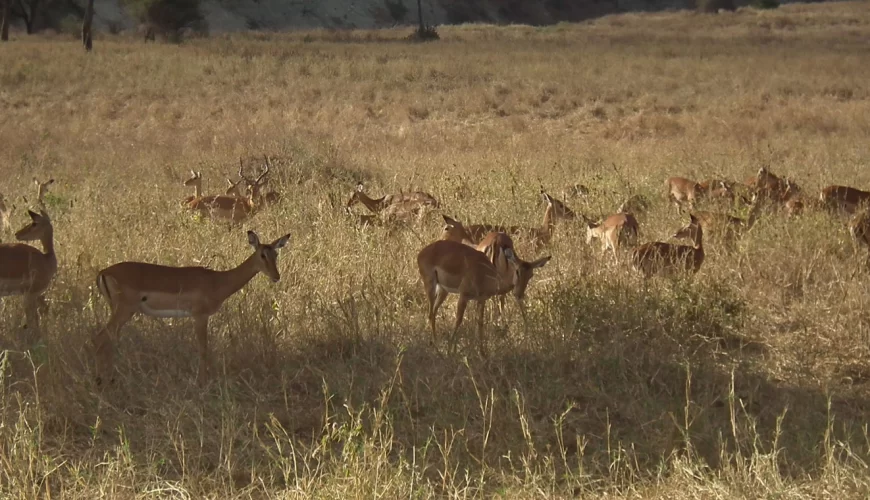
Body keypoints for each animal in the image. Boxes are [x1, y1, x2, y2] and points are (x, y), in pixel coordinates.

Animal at [92, 230, 290, 386]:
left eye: (276, 255)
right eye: (262, 255)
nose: (276, 276)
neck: (217, 281)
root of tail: (103, 272)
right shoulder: (200, 316)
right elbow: (203, 348)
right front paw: (202, 382)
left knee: (108, 339)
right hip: (124, 311)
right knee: (100, 338)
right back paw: (101, 381)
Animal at [417, 232, 550, 354]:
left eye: (531, 275)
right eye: (517, 271)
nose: (519, 294)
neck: (486, 274)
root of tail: (422, 252)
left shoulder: (481, 299)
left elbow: (480, 322)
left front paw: (482, 353)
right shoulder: (463, 296)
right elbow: (458, 320)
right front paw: (450, 351)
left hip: (443, 290)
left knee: (434, 312)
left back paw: (435, 343)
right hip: (430, 285)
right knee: (430, 313)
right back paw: (435, 346)